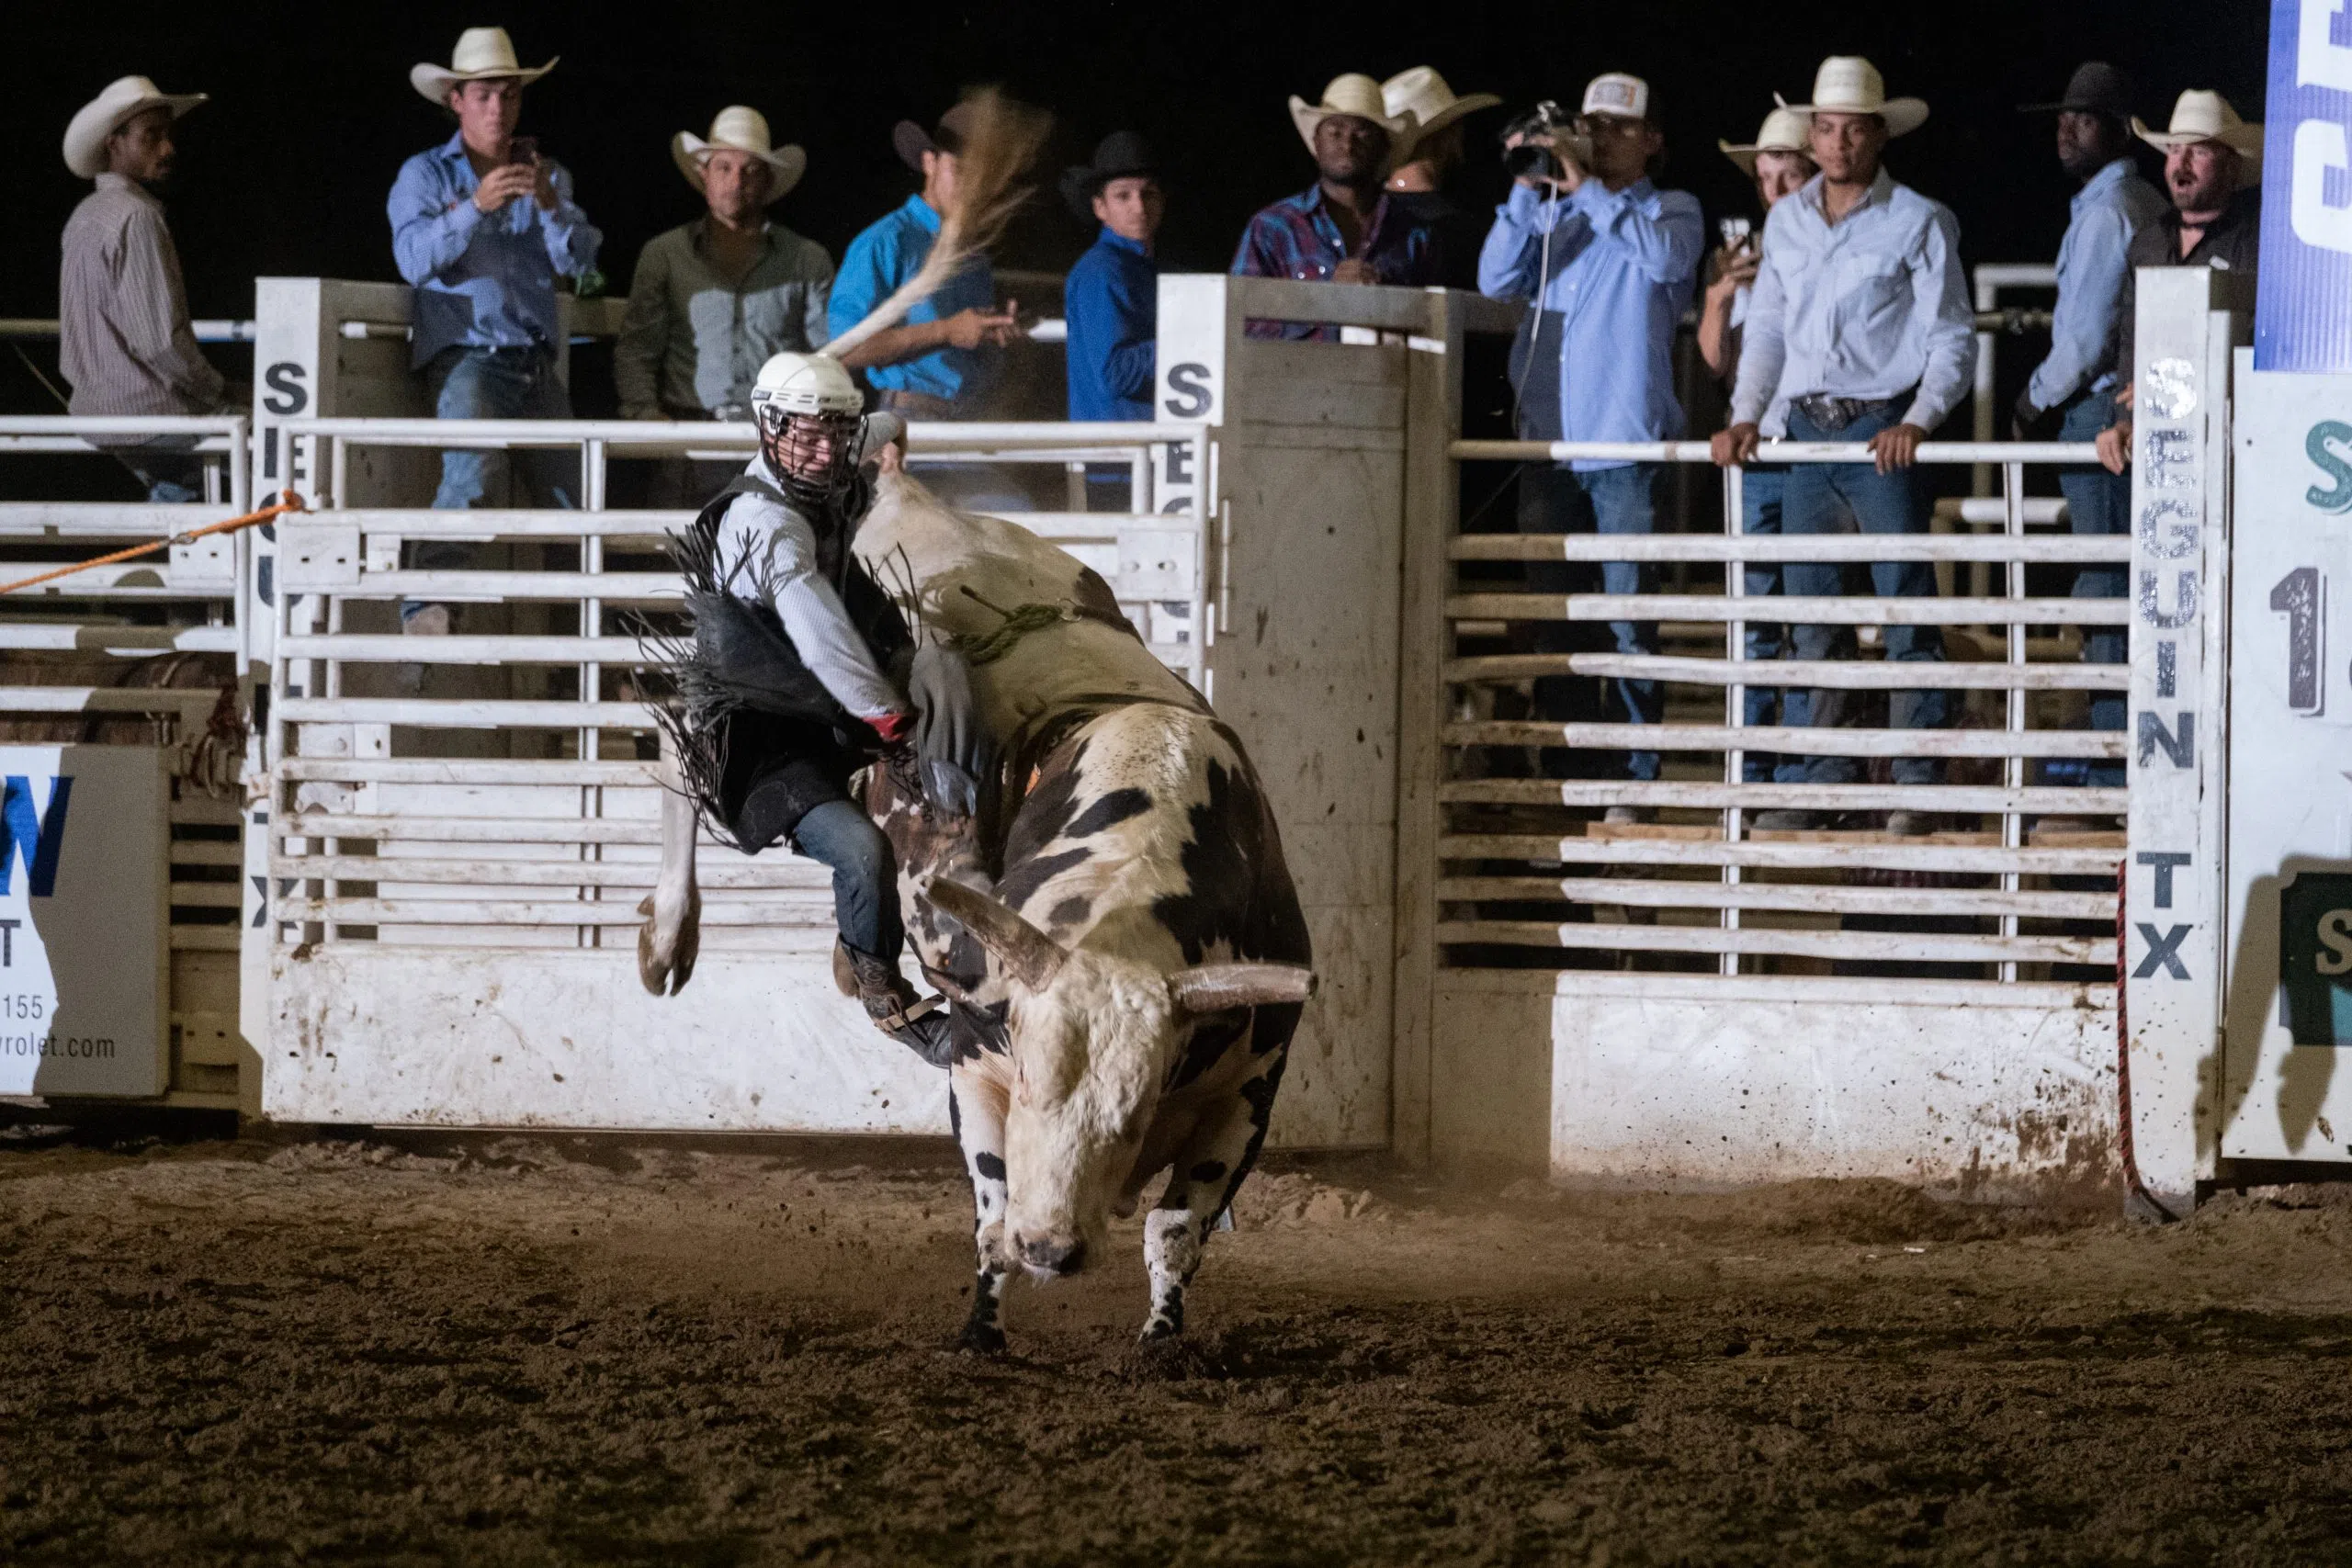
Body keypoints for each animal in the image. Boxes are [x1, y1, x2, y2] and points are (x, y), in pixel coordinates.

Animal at [635, 479, 1317, 1354]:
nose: (1051, 1249)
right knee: (684, 738)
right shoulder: (976, 1060)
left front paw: (1162, 1339)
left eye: (1134, 1112)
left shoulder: (1251, 1088)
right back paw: (667, 937)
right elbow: (992, 1211)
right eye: (1026, 1082)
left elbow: (1175, 1227)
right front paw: (980, 1330)